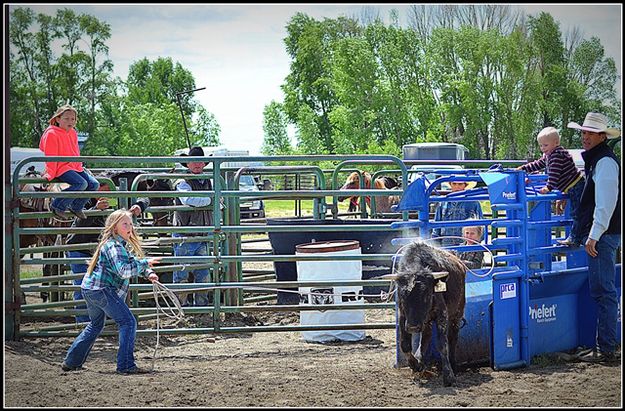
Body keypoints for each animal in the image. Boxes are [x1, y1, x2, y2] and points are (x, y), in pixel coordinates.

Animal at [392, 241, 466, 386]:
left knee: (453, 338)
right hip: (426, 321)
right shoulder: (403, 316)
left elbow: (442, 344)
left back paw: (453, 366)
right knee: (426, 336)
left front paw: (448, 376)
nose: (413, 327)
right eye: (403, 295)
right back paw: (421, 361)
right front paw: (415, 365)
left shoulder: (442, 315)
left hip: (457, 313)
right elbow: (405, 345)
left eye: (426, 294)